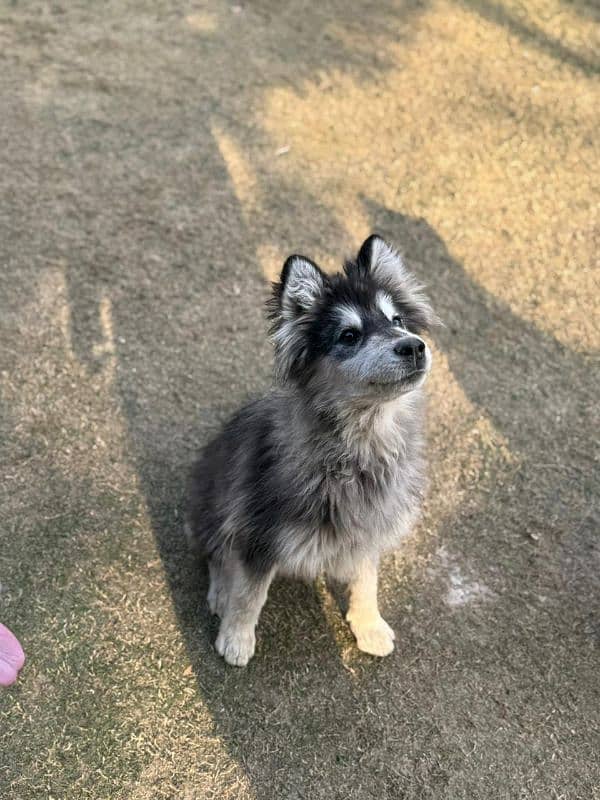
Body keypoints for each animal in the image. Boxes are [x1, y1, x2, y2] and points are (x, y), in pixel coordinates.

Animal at [185, 234, 438, 664]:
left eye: (397, 321)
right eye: (349, 336)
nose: (414, 347)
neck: (357, 446)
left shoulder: (368, 525)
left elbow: (367, 578)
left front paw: (369, 626)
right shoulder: (259, 531)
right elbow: (250, 593)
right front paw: (236, 639)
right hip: (213, 503)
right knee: (216, 553)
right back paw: (220, 592)